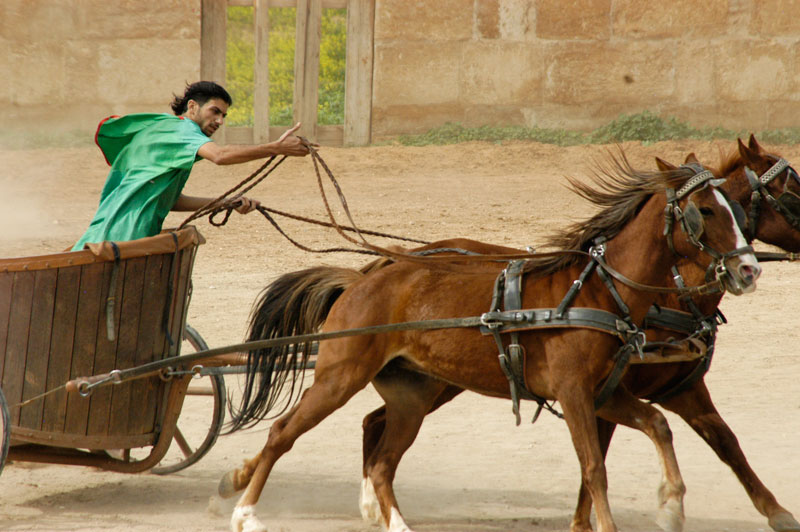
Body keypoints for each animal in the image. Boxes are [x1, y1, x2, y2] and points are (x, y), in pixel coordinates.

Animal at [222, 150, 760, 532]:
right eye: (705, 210)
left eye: (737, 209)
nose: (749, 269)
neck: (598, 292)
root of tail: (363, 278)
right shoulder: (575, 393)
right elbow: (594, 468)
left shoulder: (606, 393)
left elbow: (657, 427)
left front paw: (671, 505)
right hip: (339, 377)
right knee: (282, 434)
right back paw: (245, 513)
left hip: (411, 396)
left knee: (382, 462)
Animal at [360, 138, 800, 532]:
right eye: (791, 193)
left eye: (737, 212)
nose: (749, 271)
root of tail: (397, 260)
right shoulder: (599, 392)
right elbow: (598, 460)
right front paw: (588, 521)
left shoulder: (679, 388)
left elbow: (726, 442)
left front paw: (777, 513)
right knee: (375, 423)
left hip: (439, 378)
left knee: (374, 420)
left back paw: (373, 506)